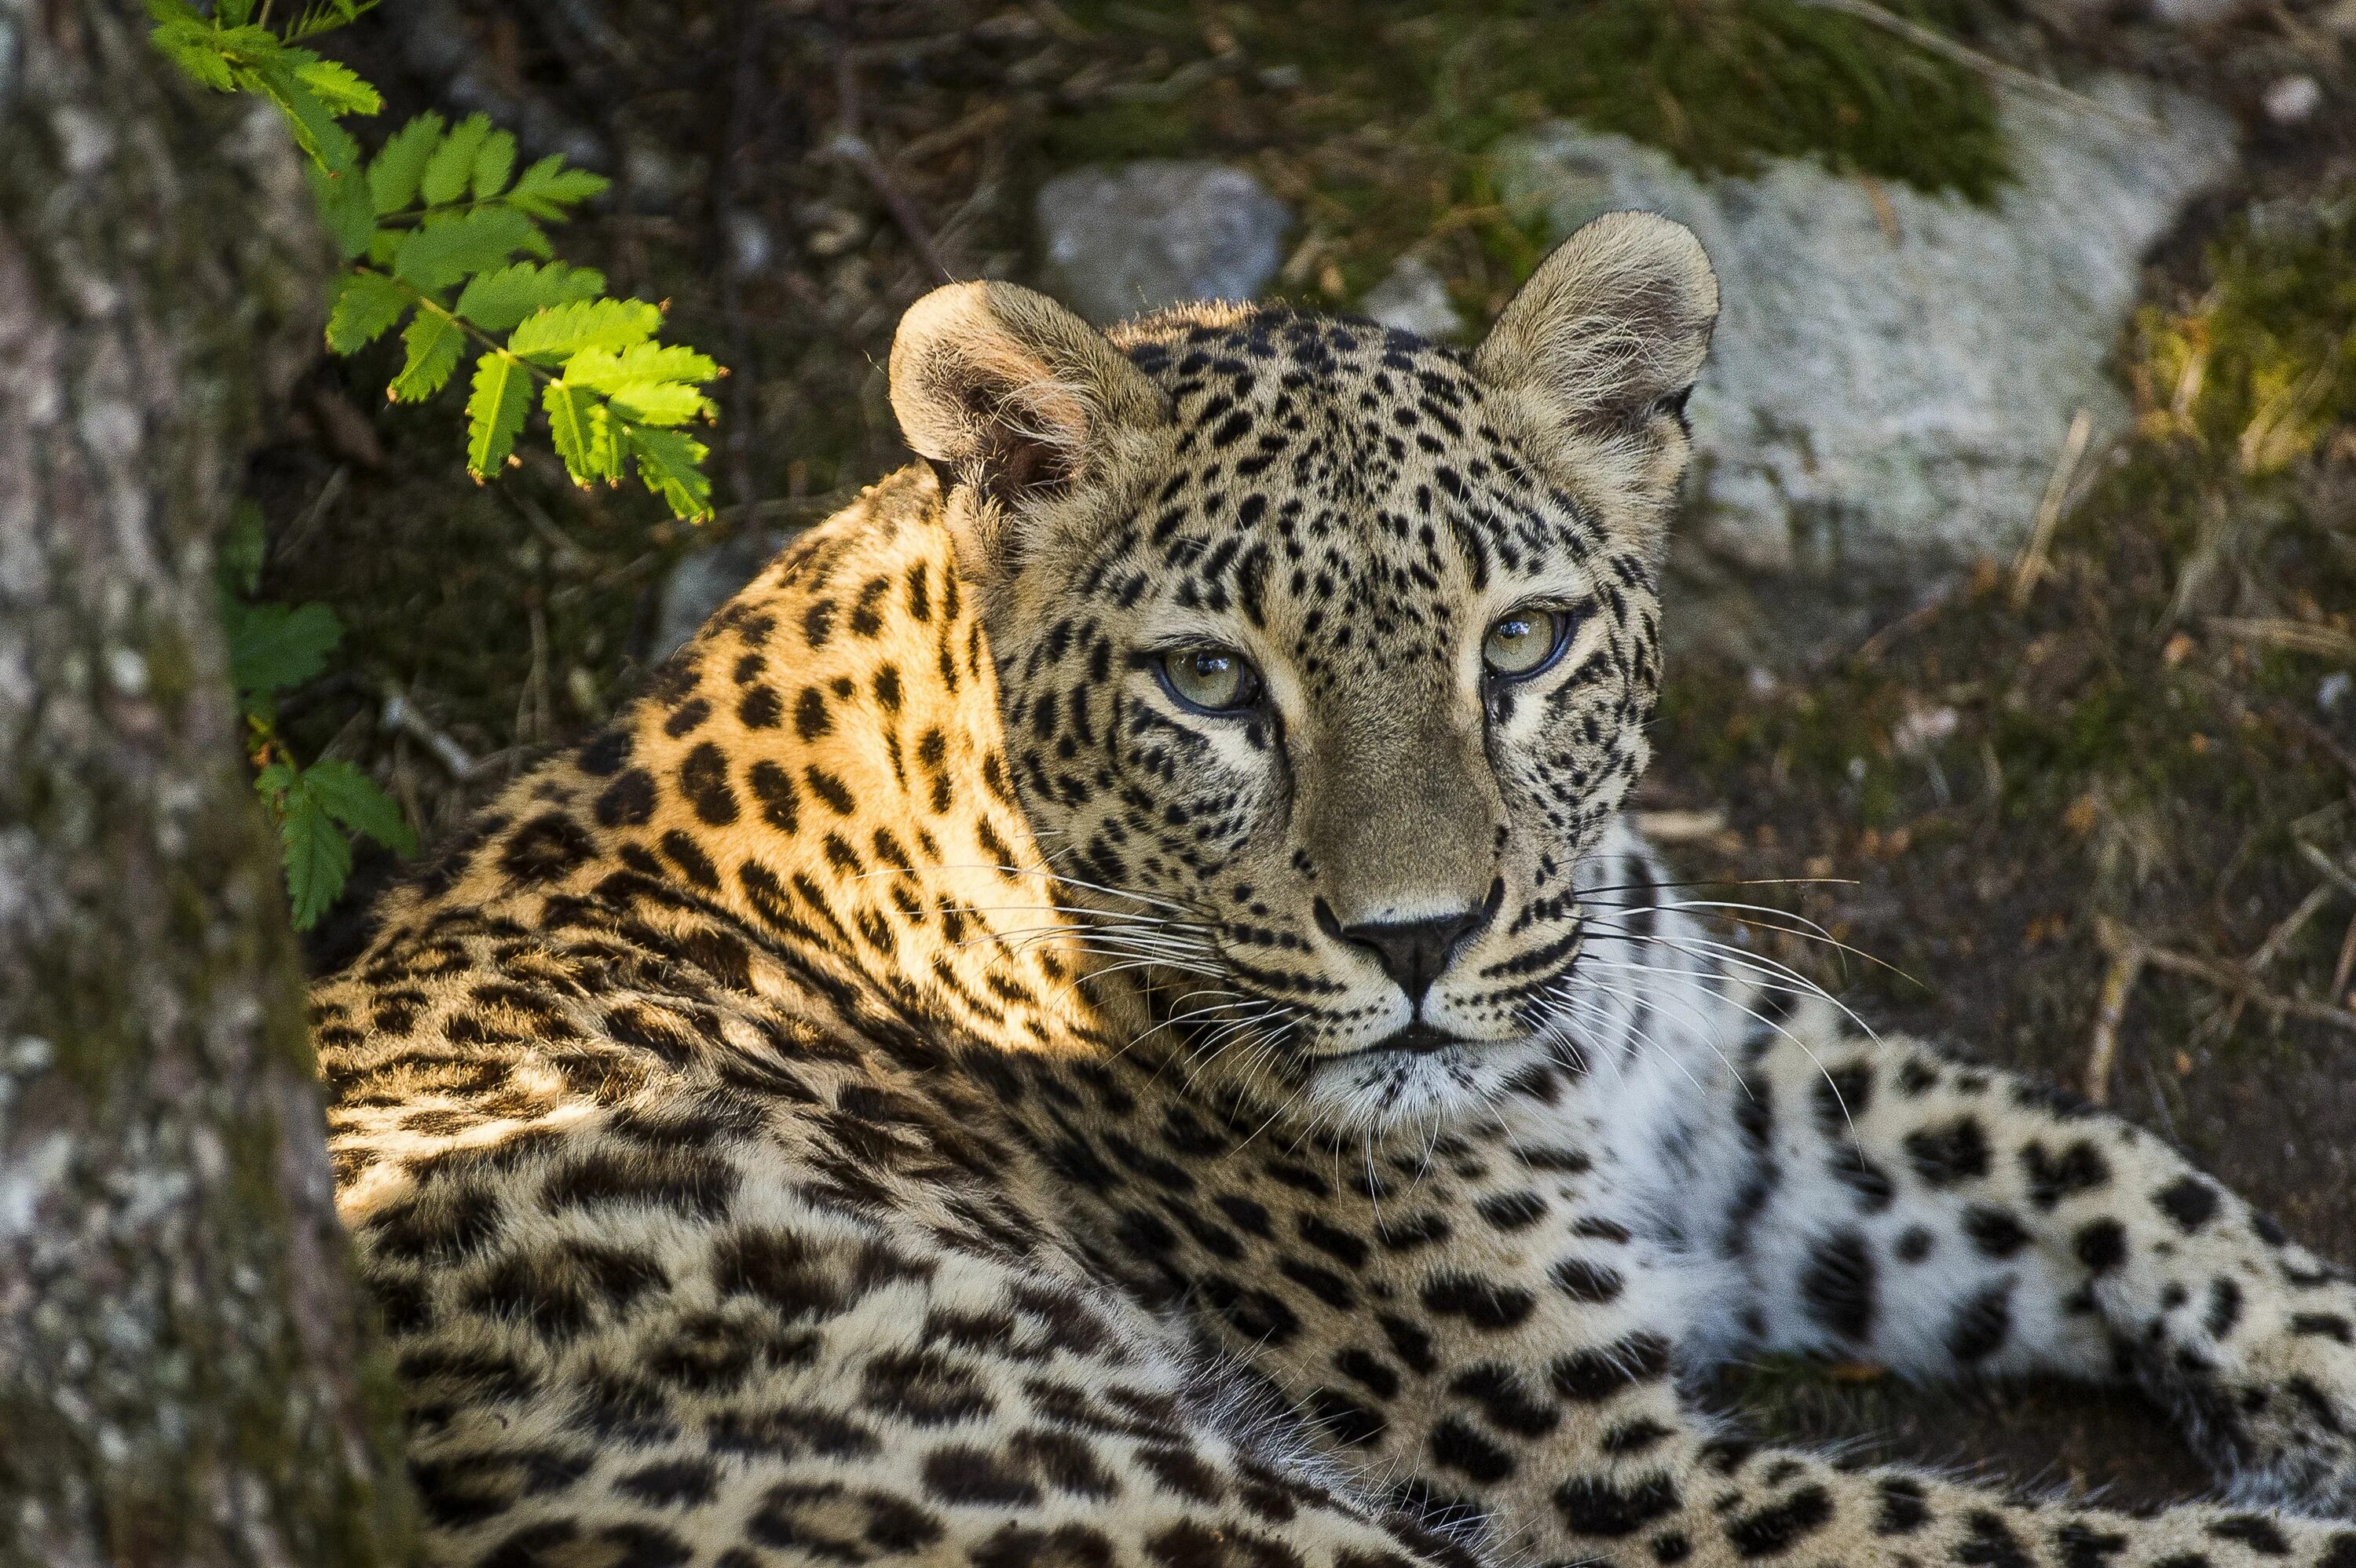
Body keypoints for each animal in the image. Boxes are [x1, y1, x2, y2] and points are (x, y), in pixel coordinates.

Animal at [318, 214, 2356, 1563]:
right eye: (1212, 681)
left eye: (1519, 643)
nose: (1417, 940)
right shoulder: (1617, 1480)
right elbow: (2111, 1544)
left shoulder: (1747, 1093)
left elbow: (2103, 1166)